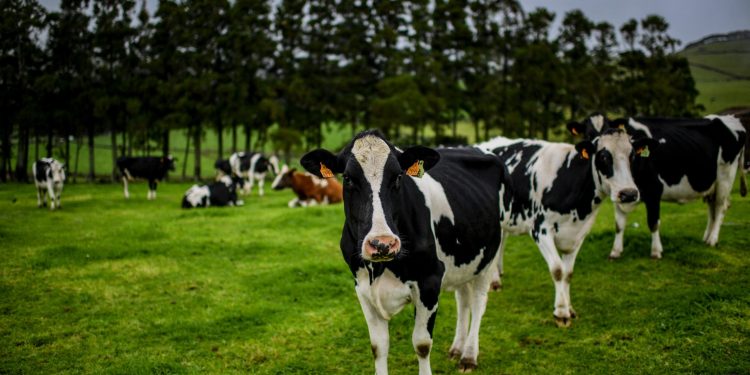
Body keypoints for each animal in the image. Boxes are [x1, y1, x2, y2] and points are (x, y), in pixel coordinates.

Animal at [302, 131, 508, 374]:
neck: (381, 268)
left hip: (489, 257)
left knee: (477, 303)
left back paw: (468, 356)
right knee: (463, 300)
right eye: (348, 179)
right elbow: (378, 346)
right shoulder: (361, 287)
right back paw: (457, 348)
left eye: (398, 177)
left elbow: (422, 344)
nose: (382, 243)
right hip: (463, 260)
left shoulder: (429, 281)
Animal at [478, 130, 656, 328]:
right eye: (603, 156)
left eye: (633, 155)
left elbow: (568, 273)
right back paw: (494, 281)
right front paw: (561, 313)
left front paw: (569, 308)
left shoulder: (579, 234)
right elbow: (557, 270)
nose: (629, 194)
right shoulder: (541, 229)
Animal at [568, 114, 748, 260]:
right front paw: (615, 251)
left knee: (721, 207)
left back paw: (712, 240)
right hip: (711, 184)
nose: (599, 157)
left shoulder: (654, 191)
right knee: (712, 208)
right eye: (589, 135)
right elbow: (619, 225)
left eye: (632, 155)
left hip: (725, 177)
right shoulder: (619, 193)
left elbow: (653, 222)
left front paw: (656, 251)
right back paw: (706, 237)